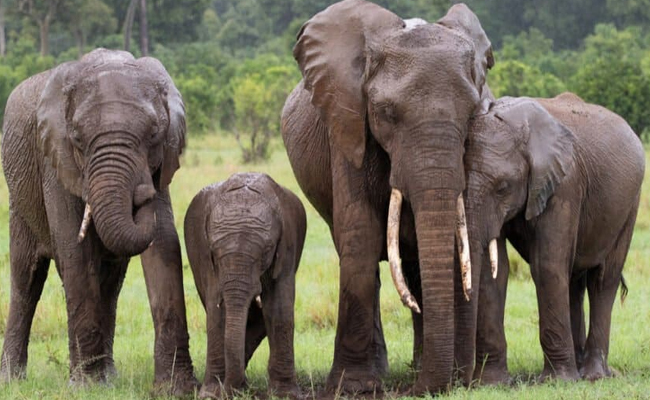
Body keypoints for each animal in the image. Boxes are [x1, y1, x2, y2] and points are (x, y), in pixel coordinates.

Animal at [0, 48, 198, 394]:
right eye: (78, 139)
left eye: (154, 134)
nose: (142, 192)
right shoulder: (55, 159)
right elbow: (75, 251)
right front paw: (86, 389)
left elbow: (163, 245)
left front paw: (177, 389)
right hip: (19, 197)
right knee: (27, 277)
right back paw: (15, 379)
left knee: (110, 282)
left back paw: (107, 376)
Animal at [184, 172, 306, 399]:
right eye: (214, 251)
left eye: (266, 251)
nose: (231, 391)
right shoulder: (206, 259)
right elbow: (216, 313)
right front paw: (212, 394)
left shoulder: (288, 244)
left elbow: (278, 308)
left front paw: (285, 394)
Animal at [281, 0, 494, 393]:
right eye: (386, 114)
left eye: (473, 113)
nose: (420, 390)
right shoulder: (347, 125)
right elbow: (360, 234)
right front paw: (353, 387)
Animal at [462, 93, 644, 384]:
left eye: (502, 188)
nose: (466, 381)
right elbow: (496, 272)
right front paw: (492, 383)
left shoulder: (565, 184)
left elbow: (545, 266)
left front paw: (556, 381)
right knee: (573, 281)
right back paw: (580, 369)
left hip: (629, 204)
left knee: (603, 280)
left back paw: (593, 375)